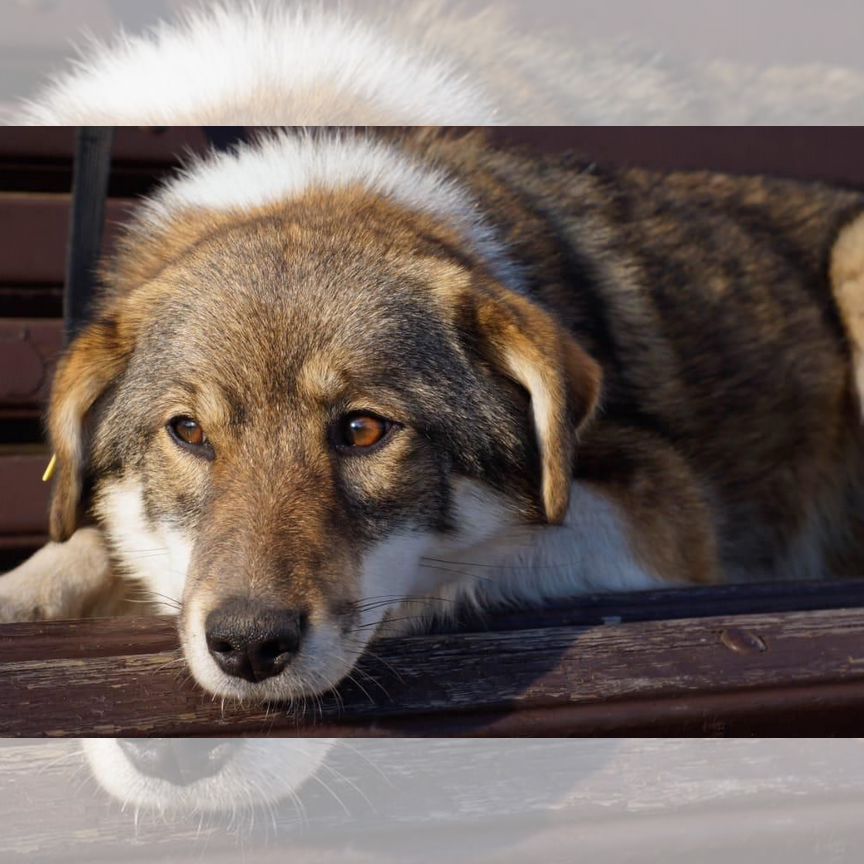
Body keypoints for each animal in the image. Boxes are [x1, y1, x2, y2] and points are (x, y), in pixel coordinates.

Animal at [1, 128, 864, 704]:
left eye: (362, 430)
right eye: (188, 432)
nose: (248, 646)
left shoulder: (664, 514)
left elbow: (484, 553)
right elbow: (90, 540)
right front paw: (27, 591)